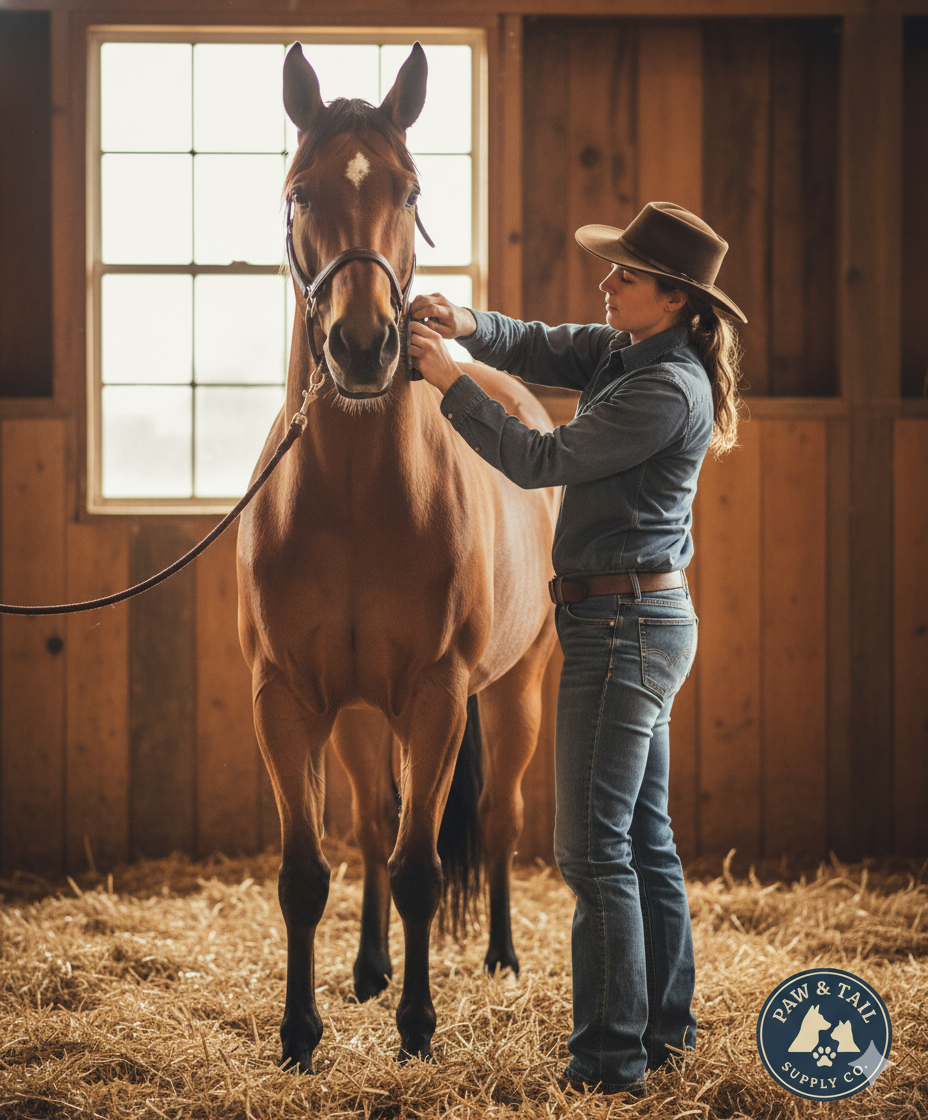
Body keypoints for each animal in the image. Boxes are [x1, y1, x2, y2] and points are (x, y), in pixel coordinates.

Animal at [236, 41, 557, 1073]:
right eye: (299, 194)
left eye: (409, 189)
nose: (364, 345)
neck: (354, 502)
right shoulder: (288, 700)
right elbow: (309, 872)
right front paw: (301, 1033)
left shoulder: (439, 695)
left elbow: (422, 868)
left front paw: (418, 1028)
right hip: (359, 715)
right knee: (376, 824)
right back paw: (372, 969)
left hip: (514, 692)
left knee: (495, 823)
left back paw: (498, 958)